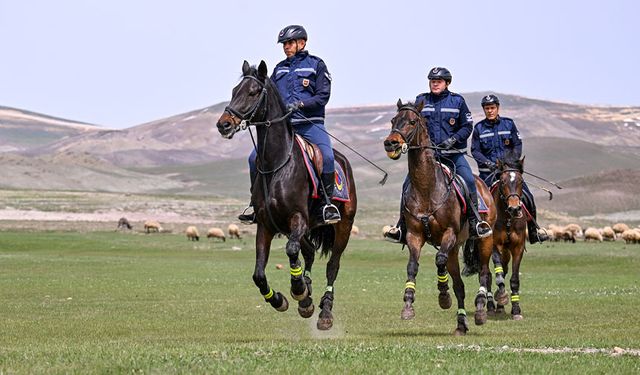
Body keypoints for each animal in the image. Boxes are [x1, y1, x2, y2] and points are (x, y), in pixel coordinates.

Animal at [214, 61, 356, 332]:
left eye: (252, 92)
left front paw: (298, 290)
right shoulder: (266, 225)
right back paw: (307, 296)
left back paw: (324, 312)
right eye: (234, 90)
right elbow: (259, 274)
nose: (224, 124)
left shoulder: (297, 218)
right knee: (308, 252)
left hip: (341, 226)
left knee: (332, 266)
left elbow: (291, 251)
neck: (277, 164)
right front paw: (281, 299)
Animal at [382, 100, 498, 334]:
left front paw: (443, 295)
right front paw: (408, 305)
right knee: (460, 286)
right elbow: (412, 266)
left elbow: (439, 259)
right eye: (393, 120)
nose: (390, 143)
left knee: (484, 273)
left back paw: (481, 310)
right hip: (455, 249)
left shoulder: (449, 233)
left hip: (485, 240)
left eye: (412, 121)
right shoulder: (414, 236)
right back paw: (461, 324)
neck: (427, 188)